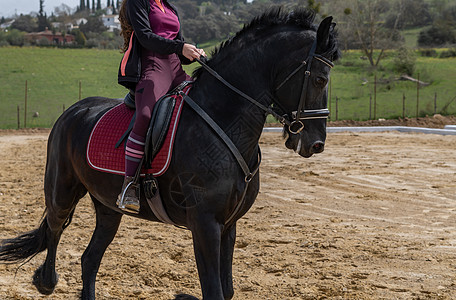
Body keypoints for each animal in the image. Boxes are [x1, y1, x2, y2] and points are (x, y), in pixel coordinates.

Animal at [0, 7, 338, 300]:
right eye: (320, 78)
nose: (316, 143)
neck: (225, 120)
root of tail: (73, 110)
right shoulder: (205, 224)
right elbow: (214, 291)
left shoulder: (228, 225)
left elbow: (227, 290)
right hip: (63, 190)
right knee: (55, 228)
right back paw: (46, 281)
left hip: (108, 208)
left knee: (90, 259)